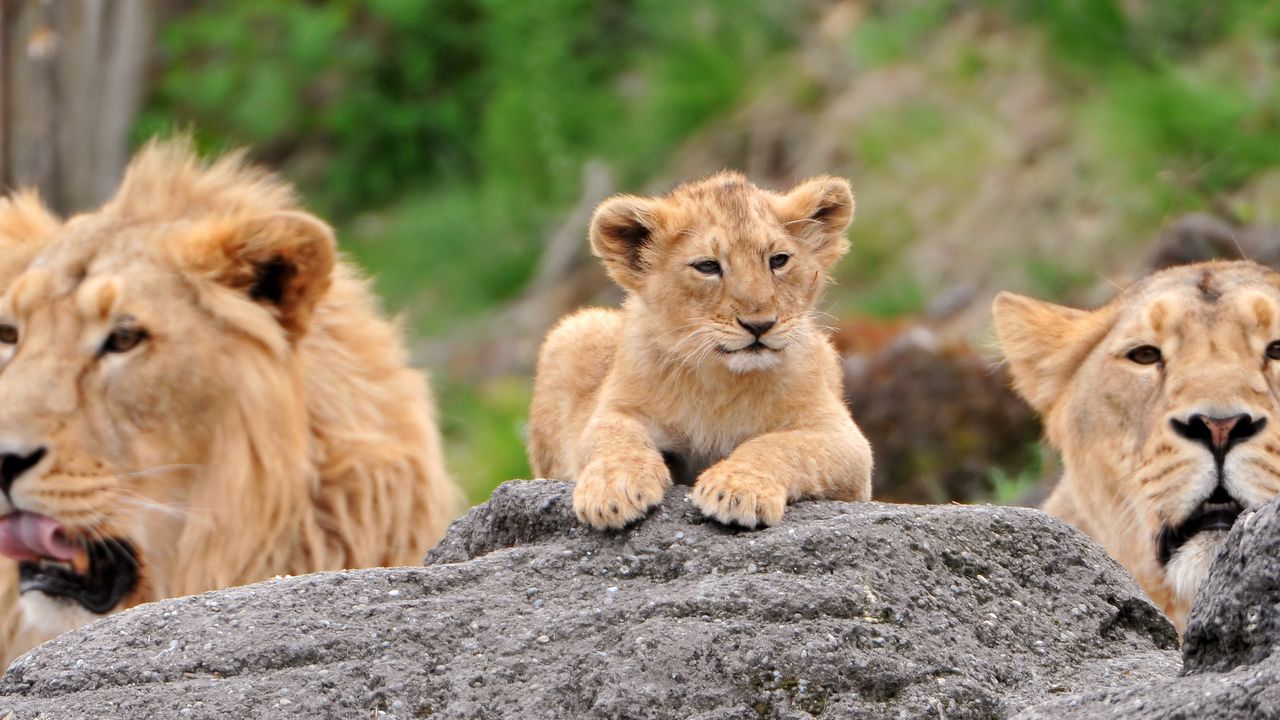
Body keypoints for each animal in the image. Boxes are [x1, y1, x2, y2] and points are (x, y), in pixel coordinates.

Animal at [527, 169, 870, 527]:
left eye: (778, 260)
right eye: (707, 266)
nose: (759, 324)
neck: (720, 382)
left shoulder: (845, 442)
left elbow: (777, 446)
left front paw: (736, 489)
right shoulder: (616, 409)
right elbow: (614, 437)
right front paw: (613, 490)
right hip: (575, 329)